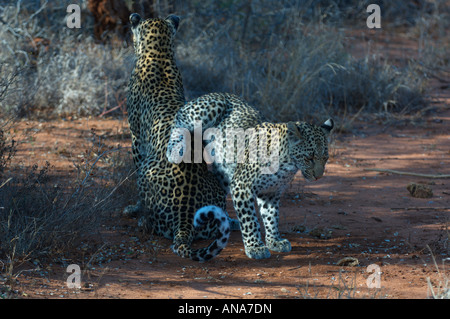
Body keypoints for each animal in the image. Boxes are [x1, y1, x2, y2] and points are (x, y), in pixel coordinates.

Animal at [123, 13, 239, 262]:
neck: (159, 53)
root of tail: (185, 216)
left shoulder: (136, 138)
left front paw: (133, 208)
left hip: (148, 172)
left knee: (150, 220)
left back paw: (141, 218)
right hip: (215, 185)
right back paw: (232, 221)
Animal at [168, 92, 334, 260]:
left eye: (325, 158)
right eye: (309, 158)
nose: (318, 177)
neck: (287, 165)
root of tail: (224, 93)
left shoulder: (270, 192)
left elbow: (271, 217)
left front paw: (275, 241)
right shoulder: (242, 186)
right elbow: (250, 220)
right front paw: (255, 247)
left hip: (224, 176)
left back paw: (226, 221)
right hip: (208, 108)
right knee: (179, 118)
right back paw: (174, 149)